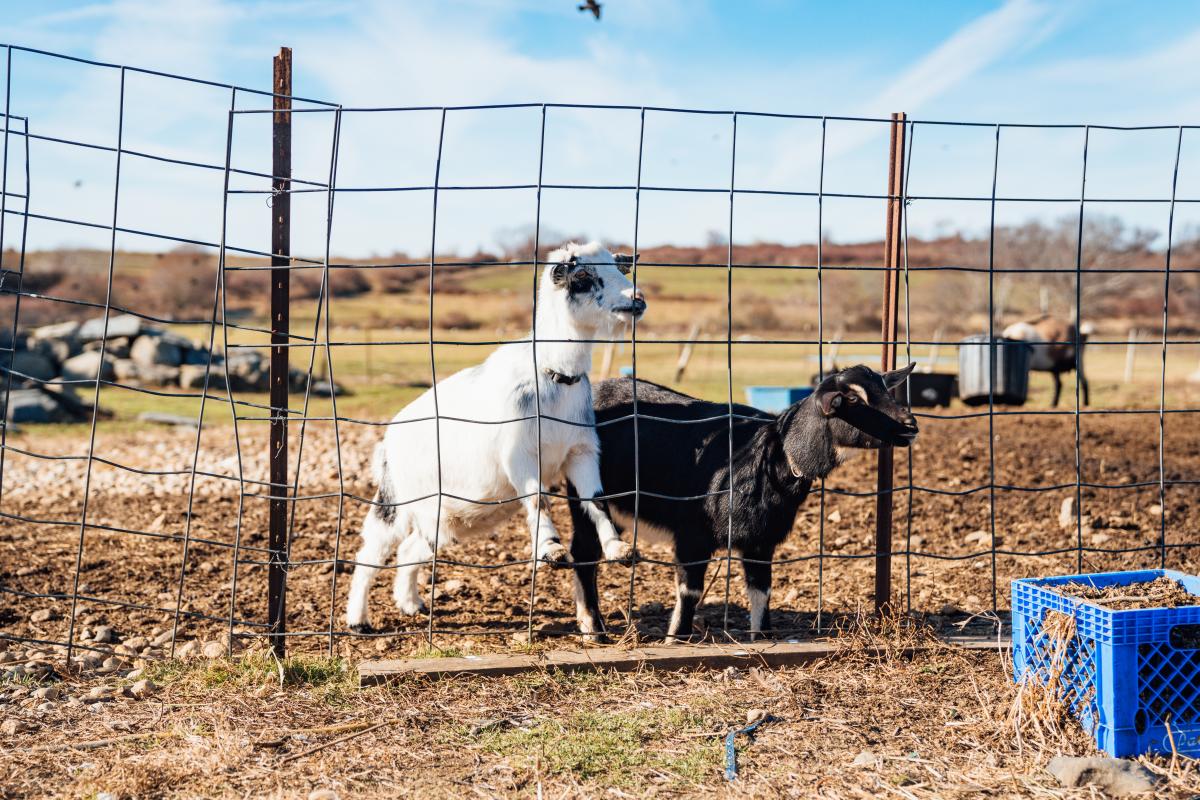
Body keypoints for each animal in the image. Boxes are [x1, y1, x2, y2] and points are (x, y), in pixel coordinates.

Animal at [345, 242, 646, 632]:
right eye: (581, 276)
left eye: (616, 268)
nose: (636, 299)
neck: (553, 374)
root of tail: (388, 440)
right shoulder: (519, 454)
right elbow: (538, 500)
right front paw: (551, 550)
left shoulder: (581, 452)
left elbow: (597, 500)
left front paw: (618, 549)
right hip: (396, 499)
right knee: (371, 551)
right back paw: (357, 620)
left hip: (443, 517)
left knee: (411, 549)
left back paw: (411, 603)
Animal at [567, 363, 918, 642]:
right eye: (854, 399)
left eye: (885, 388)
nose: (910, 424)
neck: (774, 456)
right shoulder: (692, 535)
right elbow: (690, 590)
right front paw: (677, 638)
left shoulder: (761, 541)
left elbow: (762, 589)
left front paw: (763, 635)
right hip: (583, 490)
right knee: (584, 554)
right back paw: (594, 630)